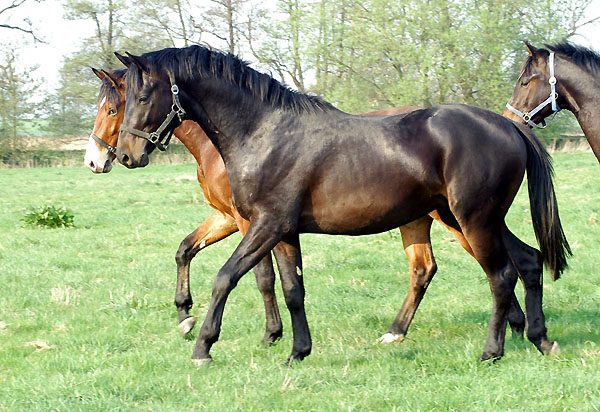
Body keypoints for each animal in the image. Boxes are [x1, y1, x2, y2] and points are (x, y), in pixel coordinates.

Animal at [113, 45, 572, 364]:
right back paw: (541, 339)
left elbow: (225, 278)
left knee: (501, 276)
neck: (264, 131)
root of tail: (509, 127)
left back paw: (491, 351)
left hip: (473, 220)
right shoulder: (284, 232)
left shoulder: (265, 225)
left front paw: (203, 346)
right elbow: (293, 290)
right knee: (528, 262)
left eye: (142, 96)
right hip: (475, 220)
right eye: (123, 100)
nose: (126, 155)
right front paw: (297, 351)